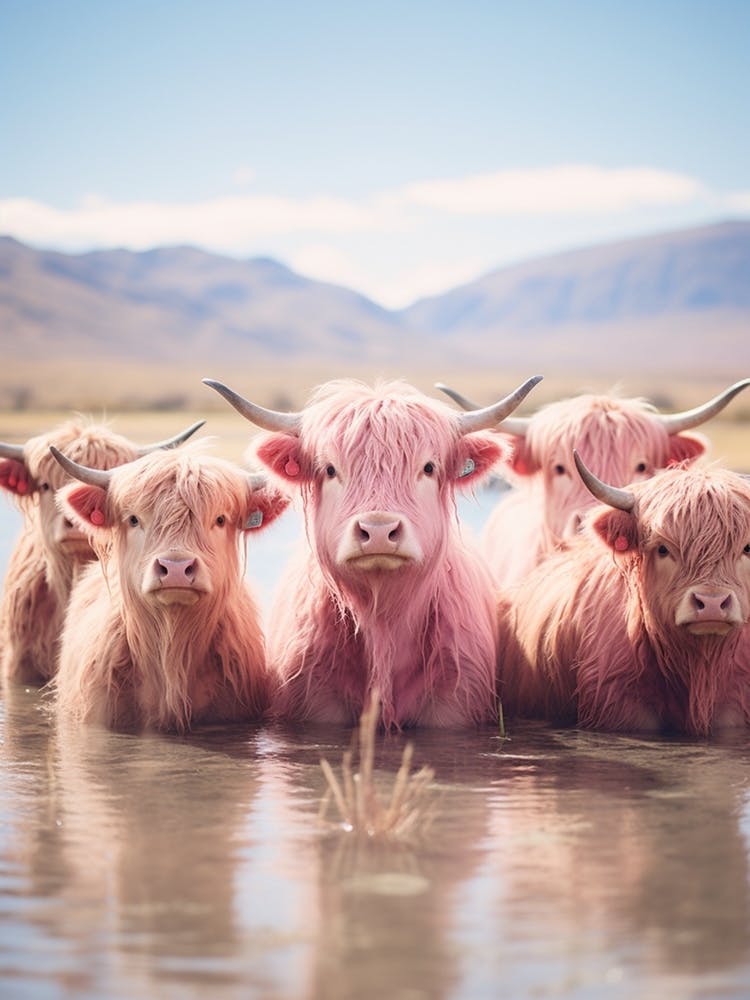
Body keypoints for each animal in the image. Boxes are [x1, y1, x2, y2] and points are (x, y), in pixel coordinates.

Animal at [203, 375, 542, 729]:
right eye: (330, 469)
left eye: (428, 467)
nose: (379, 531)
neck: (382, 624)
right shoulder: (316, 704)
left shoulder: (452, 707)